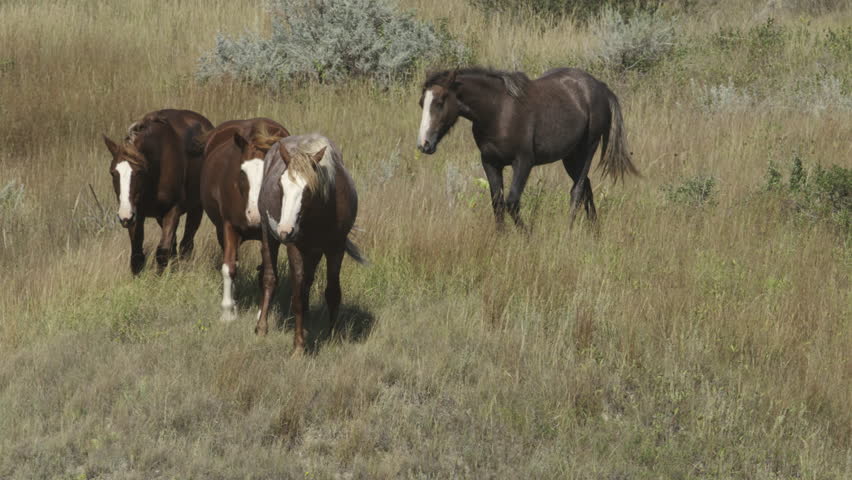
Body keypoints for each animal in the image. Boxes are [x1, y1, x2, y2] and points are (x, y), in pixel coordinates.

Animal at [102, 109, 213, 274]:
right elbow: (137, 256)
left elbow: (163, 252)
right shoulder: (137, 213)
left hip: (196, 208)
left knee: (186, 244)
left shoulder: (173, 209)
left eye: (140, 172)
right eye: (113, 173)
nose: (124, 217)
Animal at [200, 118, 290, 321]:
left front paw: (261, 314)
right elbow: (229, 267)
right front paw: (228, 312)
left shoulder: (270, 236)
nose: (255, 215)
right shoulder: (229, 227)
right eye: (242, 172)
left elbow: (267, 274)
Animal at [255, 134, 364, 355]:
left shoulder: (335, 248)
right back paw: (262, 327)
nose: (285, 230)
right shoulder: (295, 248)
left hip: (314, 253)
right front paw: (298, 346)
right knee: (270, 278)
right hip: (268, 234)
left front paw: (332, 338)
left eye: (307, 190)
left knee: (307, 284)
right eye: (281, 185)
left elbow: (332, 293)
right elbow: (297, 295)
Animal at [416, 67, 639, 230]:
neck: (498, 111)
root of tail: (600, 87)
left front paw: (528, 237)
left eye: (440, 101)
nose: (424, 144)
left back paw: (568, 232)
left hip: (587, 150)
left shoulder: (523, 162)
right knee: (586, 188)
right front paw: (501, 238)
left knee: (577, 191)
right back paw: (594, 232)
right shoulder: (490, 162)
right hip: (570, 156)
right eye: (421, 103)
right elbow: (497, 203)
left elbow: (512, 202)